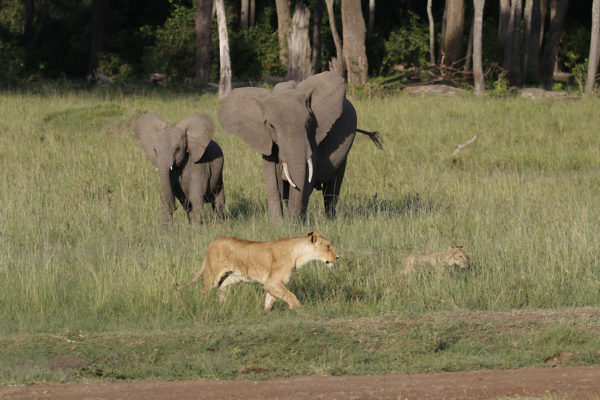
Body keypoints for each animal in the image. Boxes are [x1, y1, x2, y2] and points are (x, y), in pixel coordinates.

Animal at [218, 71, 382, 222]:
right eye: (271, 126)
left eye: (309, 121)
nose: (290, 222)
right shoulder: (265, 139)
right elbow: (272, 179)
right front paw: (279, 225)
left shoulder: (313, 138)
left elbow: (307, 176)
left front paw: (294, 224)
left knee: (332, 188)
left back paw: (331, 220)